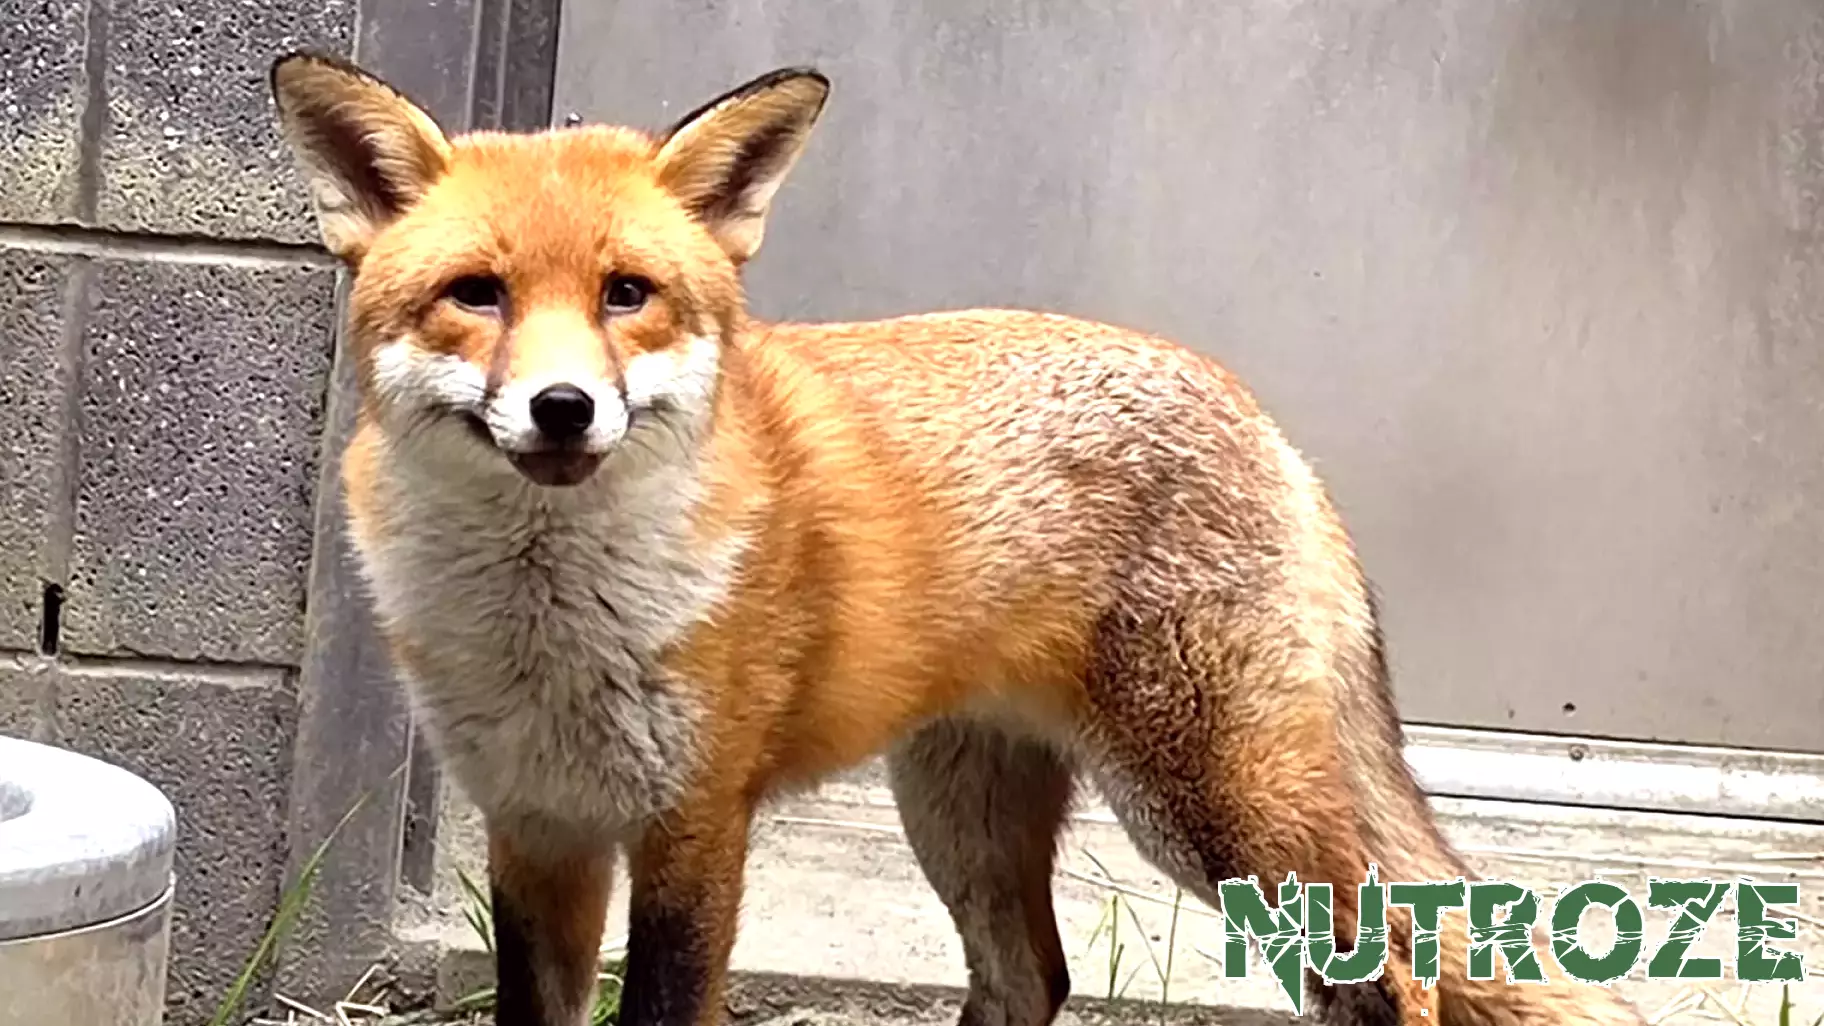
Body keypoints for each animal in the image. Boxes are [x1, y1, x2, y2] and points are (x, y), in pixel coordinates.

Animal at [267, 51, 1648, 1026]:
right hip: (960, 812)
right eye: (477, 295)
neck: (546, 630)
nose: (563, 408)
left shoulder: (695, 826)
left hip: (1212, 810)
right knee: (1033, 976)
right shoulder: (535, 828)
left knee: (1392, 975)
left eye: (626, 296)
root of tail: (1257, 410)